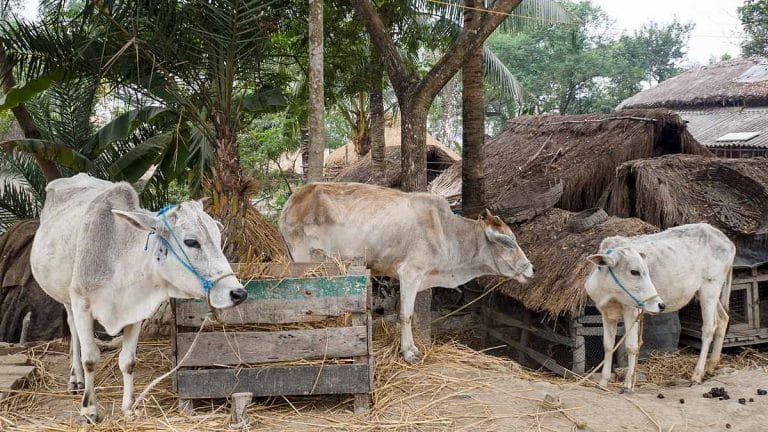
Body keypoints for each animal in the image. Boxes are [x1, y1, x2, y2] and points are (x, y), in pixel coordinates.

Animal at [30, 174, 247, 422]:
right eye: (191, 242)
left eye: (219, 239)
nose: (238, 293)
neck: (117, 257)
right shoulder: (82, 303)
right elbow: (90, 359)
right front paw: (89, 410)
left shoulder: (134, 313)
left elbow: (128, 361)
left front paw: (128, 407)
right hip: (66, 297)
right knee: (73, 330)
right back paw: (76, 379)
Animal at [279, 182, 534, 363]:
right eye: (507, 242)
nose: (531, 269)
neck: (447, 233)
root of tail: (293, 200)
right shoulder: (410, 273)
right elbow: (406, 315)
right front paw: (409, 353)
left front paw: (411, 348)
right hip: (303, 258)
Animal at [585, 223, 735, 393]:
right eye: (634, 271)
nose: (661, 305)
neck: (609, 292)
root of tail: (726, 240)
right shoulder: (605, 312)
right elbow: (608, 346)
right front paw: (603, 383)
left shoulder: (631, 310)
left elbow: (631, 346)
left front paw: (628, 385)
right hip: (706, 293)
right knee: (723, 319)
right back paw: (711, 366)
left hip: (710, 288)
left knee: (709, 328)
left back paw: (697, 375)